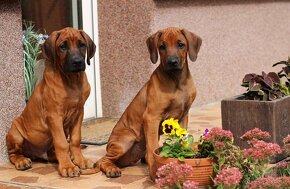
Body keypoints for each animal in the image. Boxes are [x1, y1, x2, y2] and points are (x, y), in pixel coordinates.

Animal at [5, 27, 96, 177]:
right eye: (63, 46)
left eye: (82, 44)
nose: (77, 62)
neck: (72, 81)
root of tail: (36, 154)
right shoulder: (54, 116)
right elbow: (62, 143)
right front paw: (68, 167)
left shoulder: (78, 113)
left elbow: (75, 139)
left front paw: (80, 161)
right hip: (15, 131)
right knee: (14, 153)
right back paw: (22, 161)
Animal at [97, 26, 202, 179]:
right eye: (162, 47)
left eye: (181, 45)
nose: (172, 62)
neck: (177, 80)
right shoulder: (151, 117)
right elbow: (152, 146)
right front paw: (154, 169)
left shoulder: (183, 117)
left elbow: (181, 141)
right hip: (125, 140)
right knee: (102, 160)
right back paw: (112, 169)